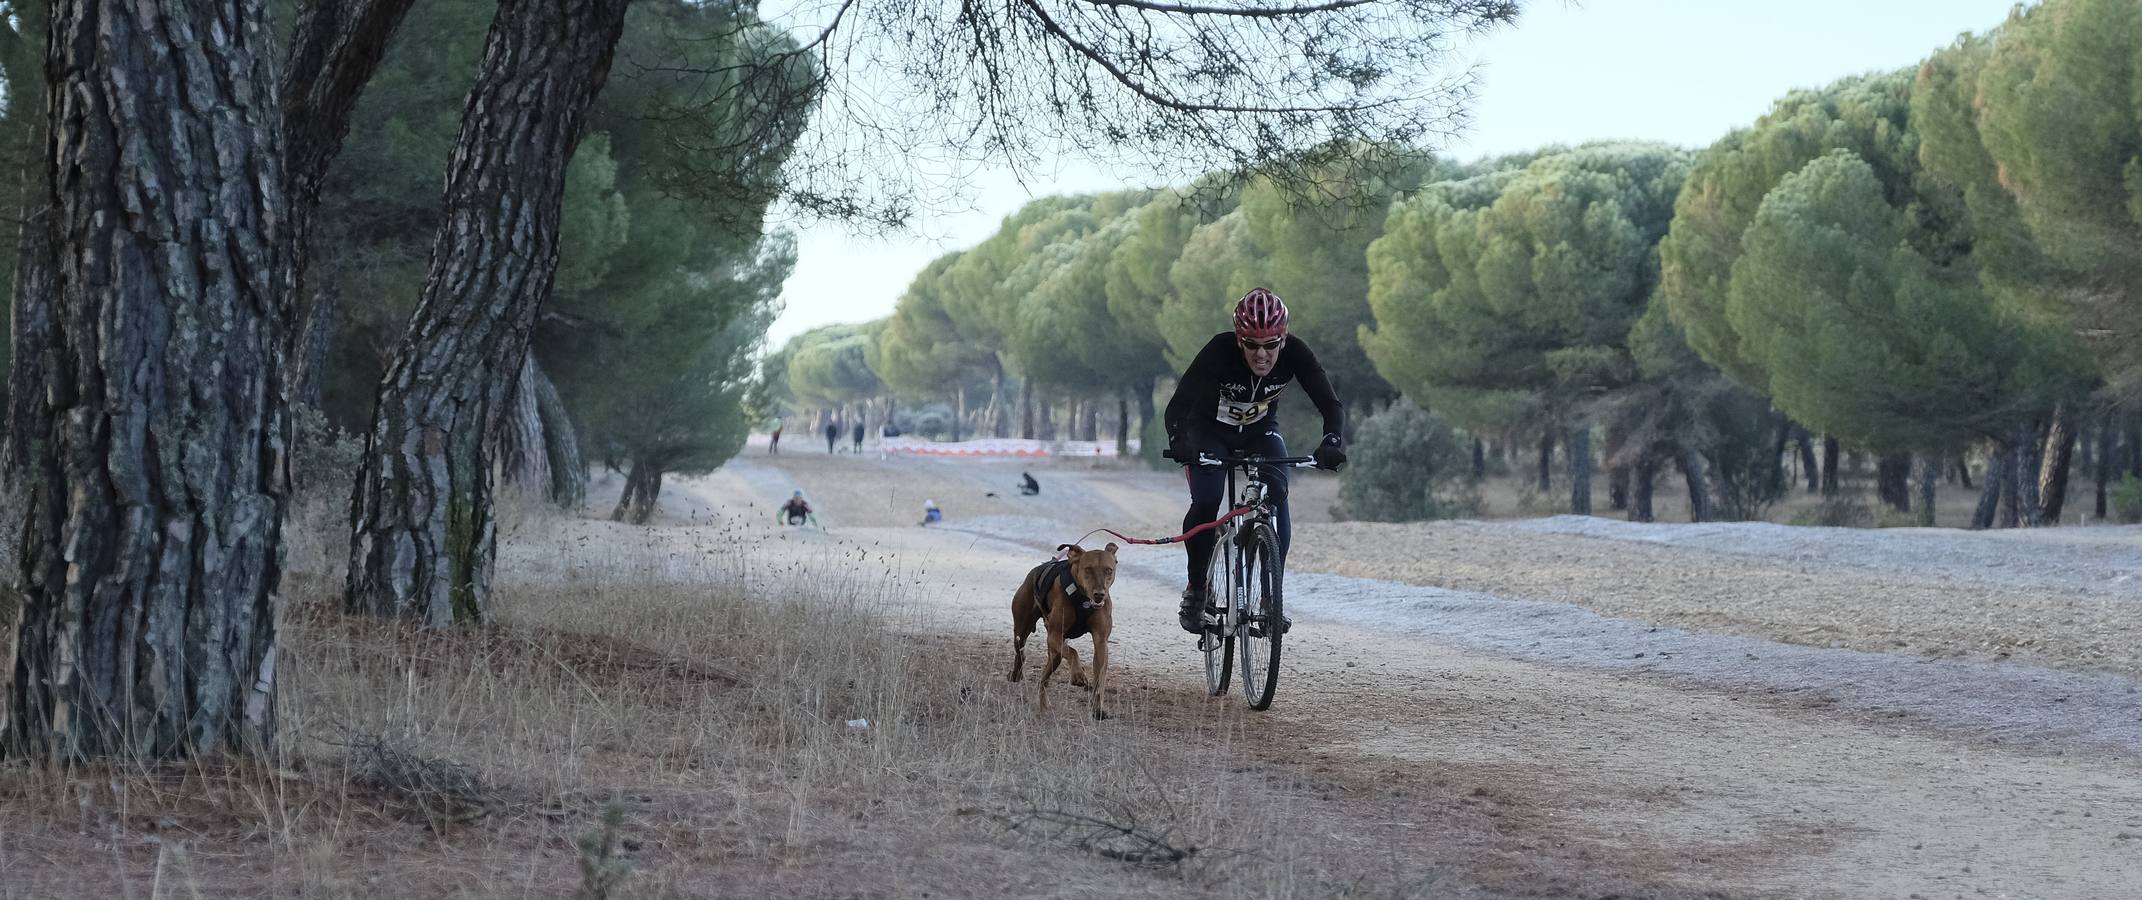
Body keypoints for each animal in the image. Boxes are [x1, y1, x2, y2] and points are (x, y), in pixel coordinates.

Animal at [1011, 542, 1122, 715]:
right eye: (1088, 569)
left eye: (1108, 570)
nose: (1099, 595)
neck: (1084, 599)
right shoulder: (1054, 635)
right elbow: (1073, 651)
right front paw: (1078, 675)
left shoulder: (1101, 641)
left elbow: (1100, 676)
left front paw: (1097, 707)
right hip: (1023, 629)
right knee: (1020, 653)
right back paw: (1016, 674)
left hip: (1055, 655)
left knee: (1043, 678)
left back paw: (1044, 705)